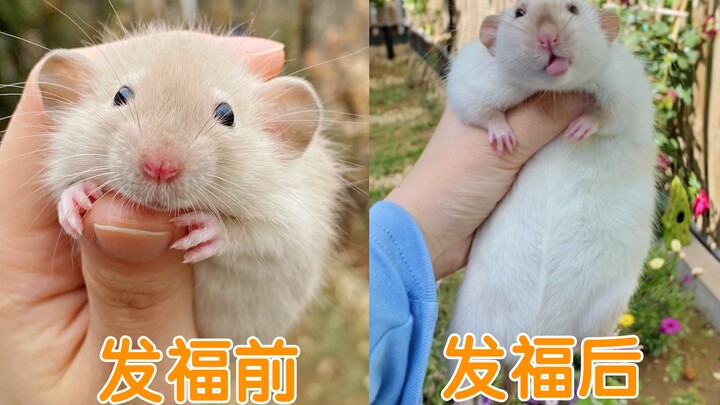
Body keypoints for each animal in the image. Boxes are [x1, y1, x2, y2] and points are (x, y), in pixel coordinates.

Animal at [37, 29, 342, 342]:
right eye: (120, 95)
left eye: (227, 114)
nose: (160, 167)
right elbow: (63, 191)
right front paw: (76, 198)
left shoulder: (292, 222)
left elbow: (260, 237)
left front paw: (208, 229)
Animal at [446, 0, 657, 370]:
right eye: (519, 13)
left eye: (573, 9)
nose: (548, 37)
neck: (553, 90)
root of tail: (538, 341)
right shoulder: (470, 82)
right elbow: (482, 112)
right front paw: (503, 135)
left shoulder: (624, 86)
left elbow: (609, 116)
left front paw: (581, 127)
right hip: (471, 333)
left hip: (606, 305)